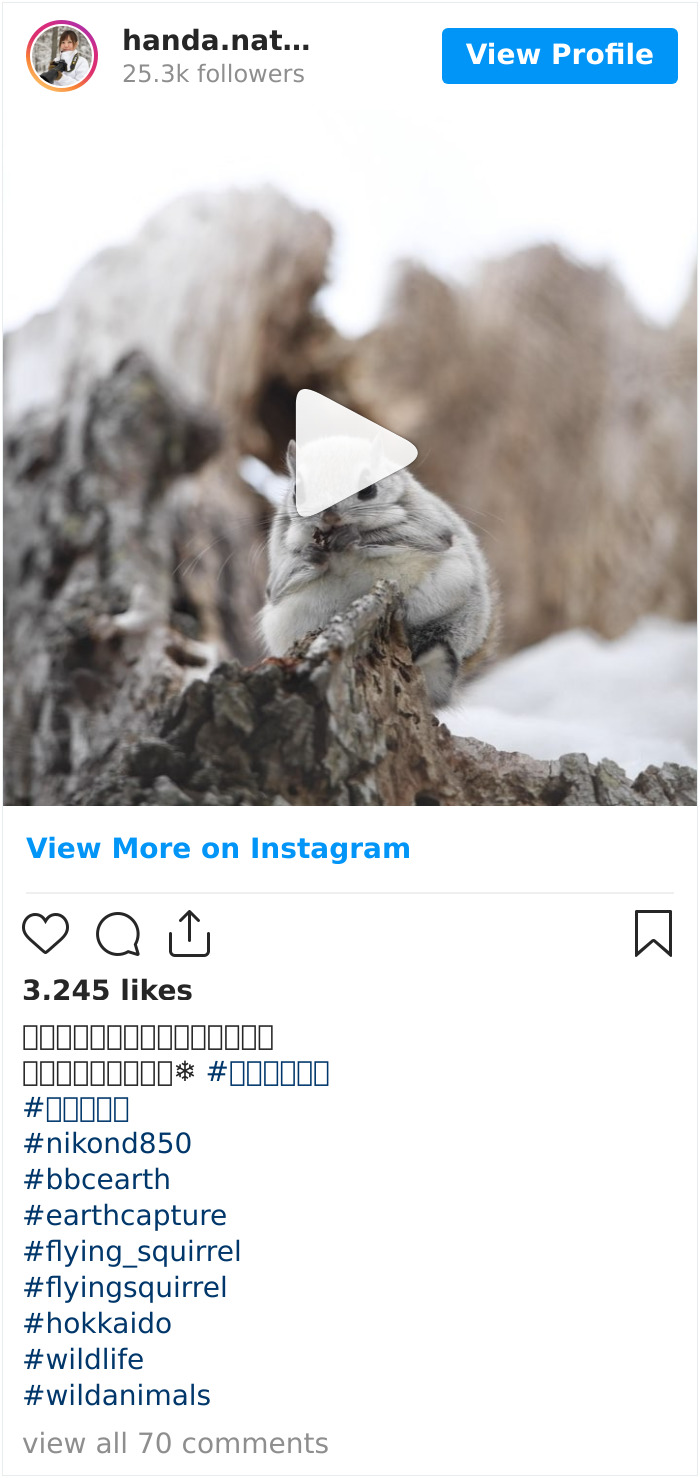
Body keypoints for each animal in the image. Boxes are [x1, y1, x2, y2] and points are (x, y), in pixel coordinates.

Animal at [259, 438, 499, 707]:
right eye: (297, 492)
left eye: (368, 489)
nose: (330, 516)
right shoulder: (279, 548)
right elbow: (277, 586)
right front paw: (311, 555)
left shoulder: (428, 526)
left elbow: (411, 537)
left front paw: (352, 537)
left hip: (451, 599)